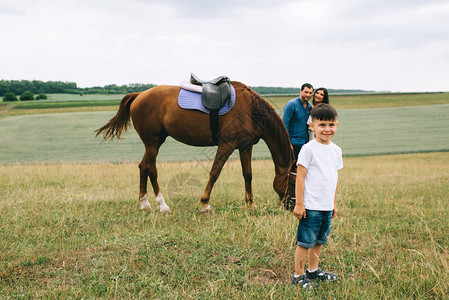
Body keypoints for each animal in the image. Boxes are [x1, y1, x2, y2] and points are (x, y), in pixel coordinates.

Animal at [96, 81, 296, 212]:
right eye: (293, 182)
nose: (292, 206)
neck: (250, 109)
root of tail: (139, 95)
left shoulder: (245, 146)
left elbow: (248, 175)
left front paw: (250, 204)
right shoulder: (226, 145)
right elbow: (215, 172)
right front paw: (205, 203)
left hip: (156, 141)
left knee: (143, 166)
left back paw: (145, 204)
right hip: (152, 142)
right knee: (152, 169)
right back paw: (162, 205)